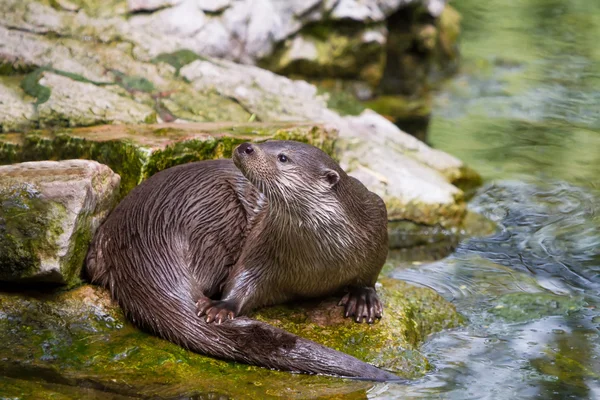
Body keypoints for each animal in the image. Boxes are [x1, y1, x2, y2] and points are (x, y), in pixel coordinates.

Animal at [85, 141, 394, 382]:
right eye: (265, 141)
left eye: (283, 157)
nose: (246, 146)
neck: (318, 262)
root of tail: (145, 230)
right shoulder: (263, 244)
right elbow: (244, 278)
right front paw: (222, 307)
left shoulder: (377, 219)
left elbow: (369, 273)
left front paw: (363, 297)